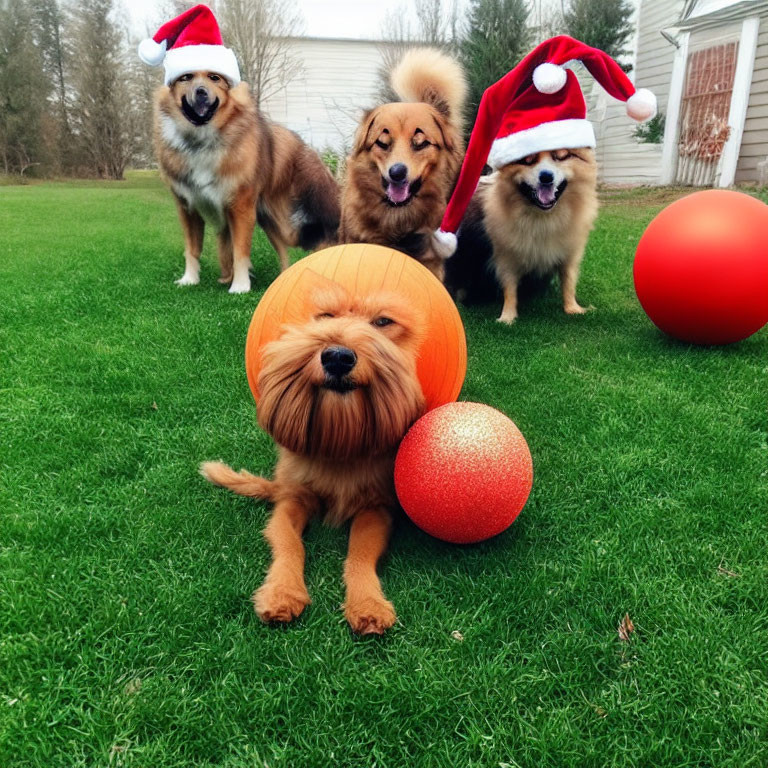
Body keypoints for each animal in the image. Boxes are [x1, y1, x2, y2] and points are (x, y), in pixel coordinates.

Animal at [153, 70, 340, 292]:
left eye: (214, 78)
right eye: (186, 77)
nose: (201, 92)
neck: (202, 141)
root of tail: (307, 149)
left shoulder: (240, 207)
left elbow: (240, 251)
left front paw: (240, 286)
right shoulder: (188, 208)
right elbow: (192, 249)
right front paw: (189, 279)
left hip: (291, 224)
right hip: (269, 221)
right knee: (284, 252)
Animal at [198, 280, 426, 632]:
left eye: (382, 322)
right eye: (326, 316)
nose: (337, 357)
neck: (339, 445)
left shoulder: (375, 508)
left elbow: (360, 552)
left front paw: (367, 603)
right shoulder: (291, 501)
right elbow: (290, 544)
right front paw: (281, 593)